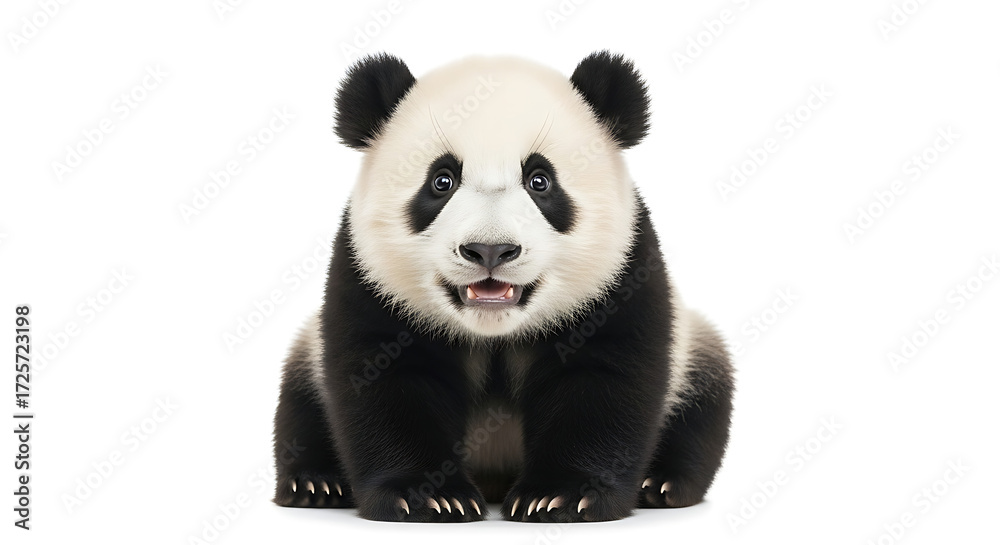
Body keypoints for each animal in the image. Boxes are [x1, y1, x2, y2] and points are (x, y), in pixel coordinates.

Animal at [272, 51, 734, 523]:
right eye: (441, 180)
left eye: (540, 180)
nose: (490, 250)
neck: (493, 331)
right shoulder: (369, 281)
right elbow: (387, 380)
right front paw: (427, 497)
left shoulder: (622, 276)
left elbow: (605, 378)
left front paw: (562, 496)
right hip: (306, 353)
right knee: (300, 406)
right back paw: (317, 483)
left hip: (695, 349)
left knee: (701, 409)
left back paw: (661, 483)